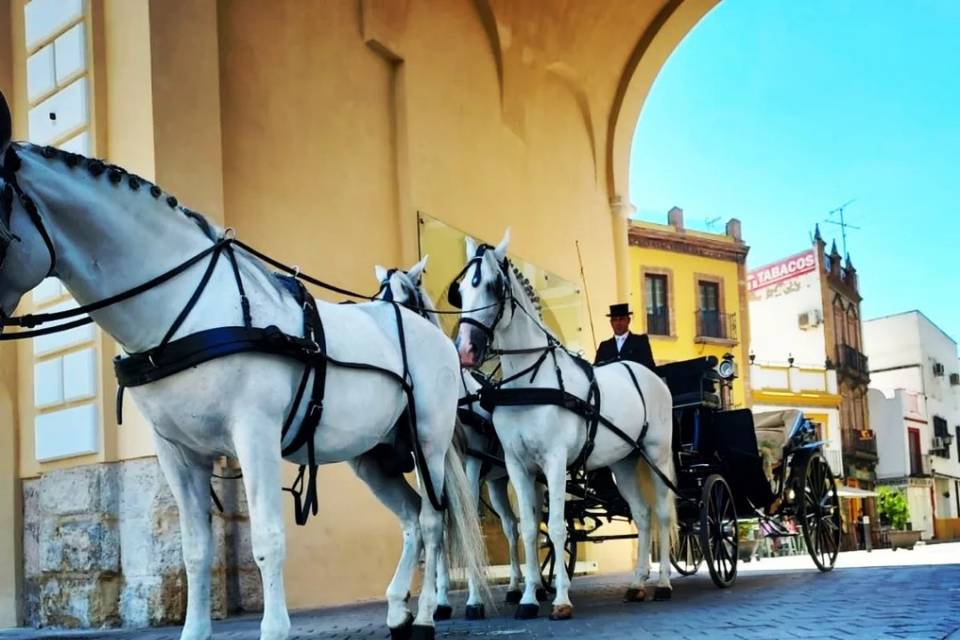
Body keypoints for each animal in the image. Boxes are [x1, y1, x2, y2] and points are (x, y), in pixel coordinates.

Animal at [0, 94, 484, 640]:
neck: (189, 311)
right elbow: (194, 551)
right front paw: (195, 630)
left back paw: (423, 614)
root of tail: (431, 337)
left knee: (432, 520)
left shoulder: (255, 435)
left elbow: (268, 540)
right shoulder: (178, 454)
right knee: (409, 518)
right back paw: (398, 607)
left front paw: (274, 627)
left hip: (428, 442)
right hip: (373, 456)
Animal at [374, 258, 532, 616]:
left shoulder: (469, 465)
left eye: (404, 299)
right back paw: (515, 586)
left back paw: (538, 586)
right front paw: (441, 600)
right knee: (510, 525)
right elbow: (442, 524)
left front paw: (473, 599)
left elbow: (468, 519)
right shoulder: (428, 468)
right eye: (377, 297)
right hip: (497, 482)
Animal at [450, 231, 676, 620]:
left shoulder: (554, 462)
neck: (528, 382)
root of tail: (650, 375)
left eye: (494, 286)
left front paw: (560, 600)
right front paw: (528, 597)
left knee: (661, 515)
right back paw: (636, 583)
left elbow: (555, 527)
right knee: (643, 515)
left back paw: (661, 583)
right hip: (624, 463)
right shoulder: (518, 466)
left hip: (656, 458)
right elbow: (528, 530)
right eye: (461, 290)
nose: (466, 349)